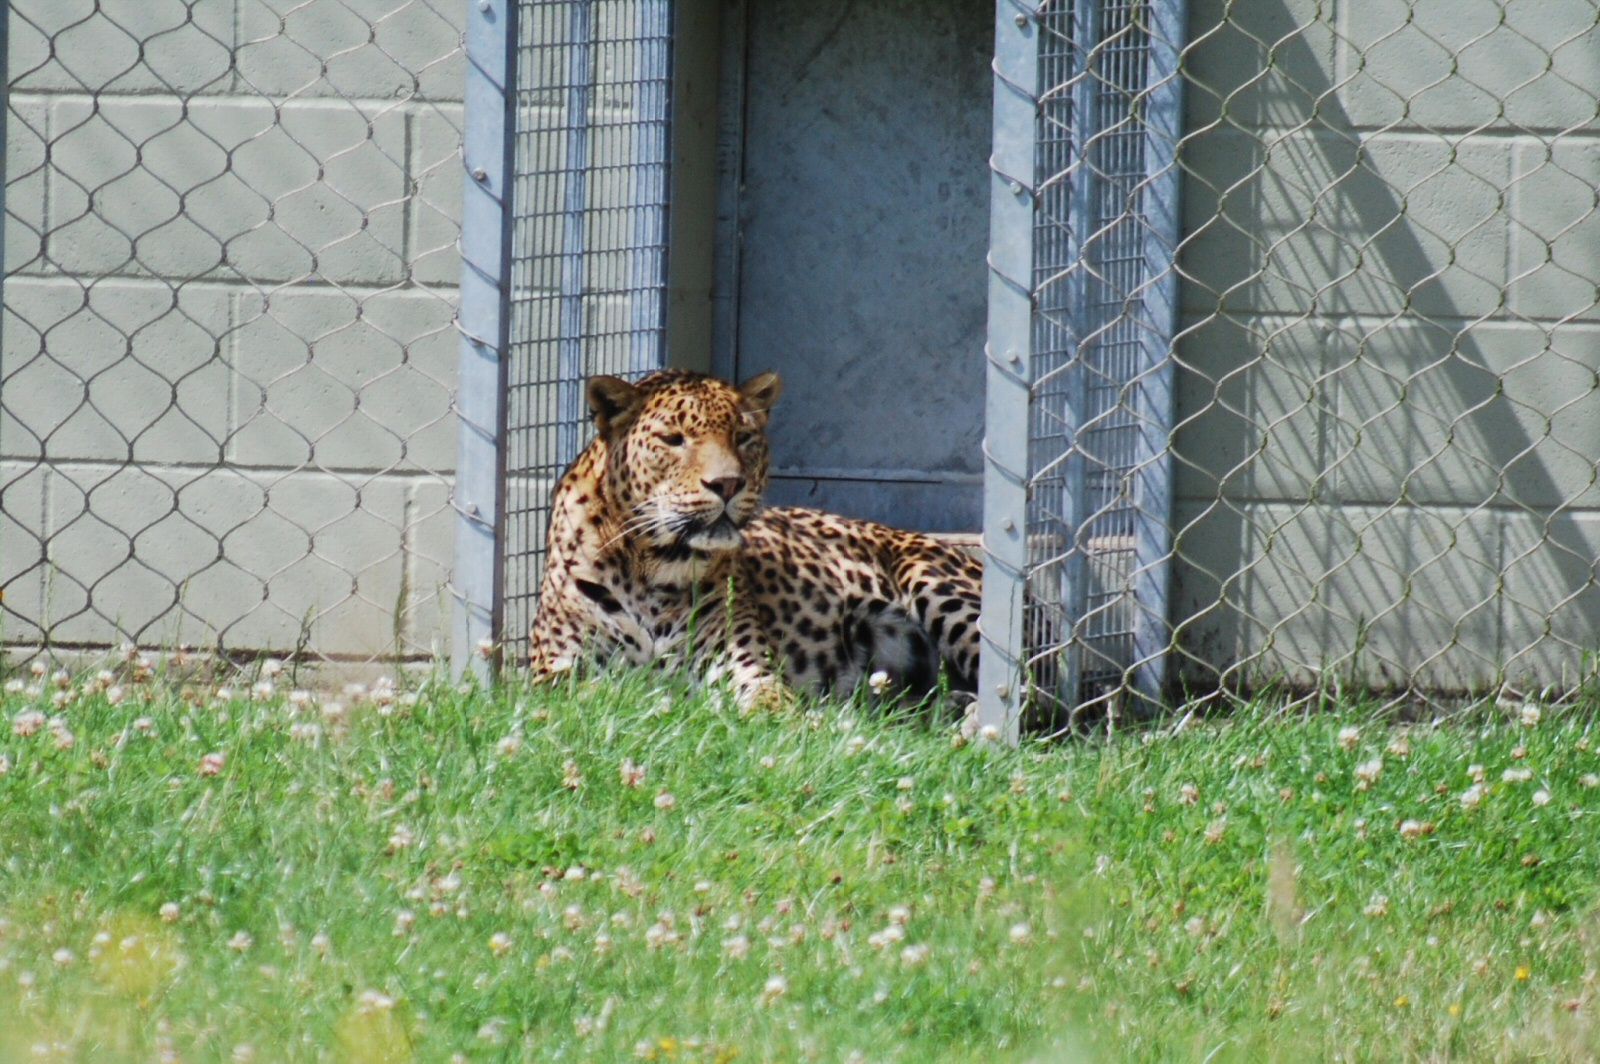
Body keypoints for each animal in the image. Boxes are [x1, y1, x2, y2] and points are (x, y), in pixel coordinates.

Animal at [526, 368, 983, 708]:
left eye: (742, 437)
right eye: (673, 439)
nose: (727, 484)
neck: (656, 567)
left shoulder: (746, 669)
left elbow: (769, 704)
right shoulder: (553, 674)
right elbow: (599, 694)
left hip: (937, 586)